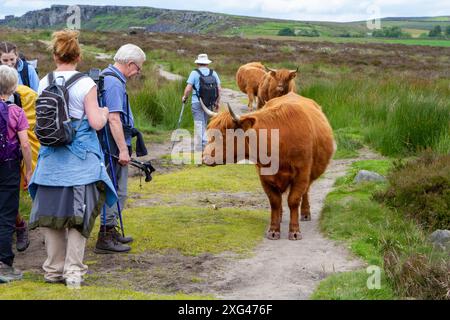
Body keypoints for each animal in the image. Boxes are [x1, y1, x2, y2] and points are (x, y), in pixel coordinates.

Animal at [200, 92, 334, 240]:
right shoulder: (264, 176)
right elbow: (275, 201)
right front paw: (274, 230)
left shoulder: (302, 174)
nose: (204, 158)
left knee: (306, 191)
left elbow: (293, 200)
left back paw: (305, 213)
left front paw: (294, 231)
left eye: (224, 135)